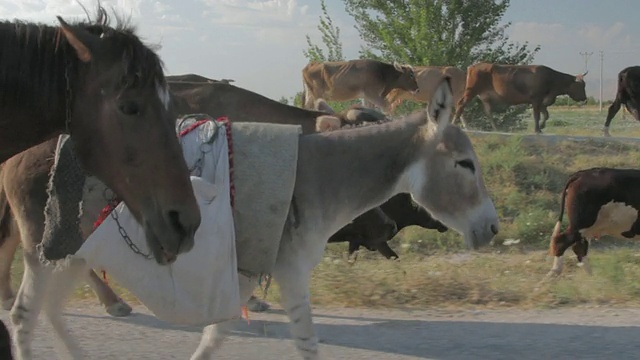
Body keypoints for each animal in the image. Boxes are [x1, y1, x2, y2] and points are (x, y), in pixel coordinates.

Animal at [452, 62, 588, 133]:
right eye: (581, 85)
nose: (585, 98)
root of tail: (475, 65)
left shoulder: (543, 101)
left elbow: (546, 115)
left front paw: (542, 127)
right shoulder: (536, 99)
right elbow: (537, 115)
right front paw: (537, 129)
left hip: (485, 97)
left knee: (488, 112)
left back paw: (497, 128)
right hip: (471, 91)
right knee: (460, 104)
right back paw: (454, 122)